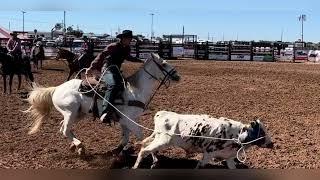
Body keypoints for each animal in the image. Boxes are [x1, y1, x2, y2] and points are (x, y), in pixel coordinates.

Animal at [24, 53, 180, 155]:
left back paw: (76, 146)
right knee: (65, 129)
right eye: (164, 64)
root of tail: (56, 88)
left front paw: (119, 150)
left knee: (64, 128)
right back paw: (79, 145)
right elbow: (141, 136)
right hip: (70, 112)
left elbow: (126, 137)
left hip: (78, 114)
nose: (177, 76)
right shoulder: (129, 120)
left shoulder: (127, 120)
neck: (135, 90)